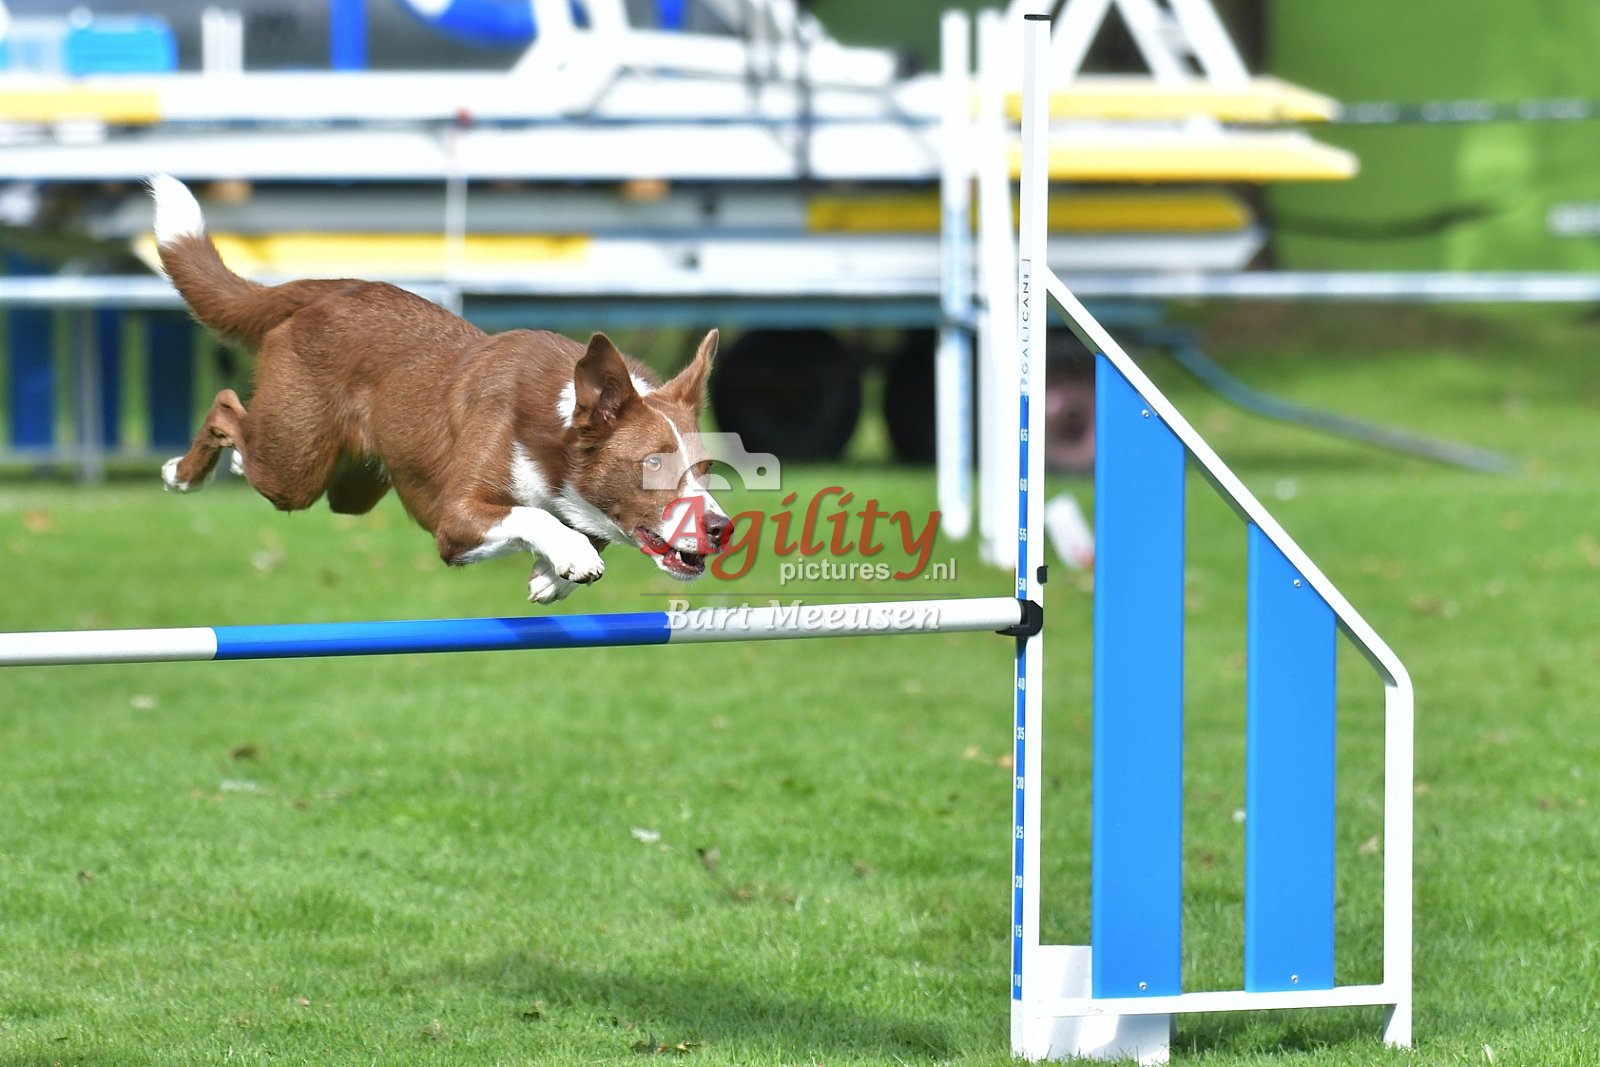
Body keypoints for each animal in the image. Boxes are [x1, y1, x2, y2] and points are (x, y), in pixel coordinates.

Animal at [148, 175, 730, 603]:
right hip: (295, 464)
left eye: (704, 468)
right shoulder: (456, 519)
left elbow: (579, 529)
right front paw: (570, 554)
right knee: (227, 409)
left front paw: (552, 575)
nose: (720, 528)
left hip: (353, 486)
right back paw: (183, 472)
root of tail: (331, 288)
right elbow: (532, 513)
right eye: (652, 465)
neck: (555, 434)